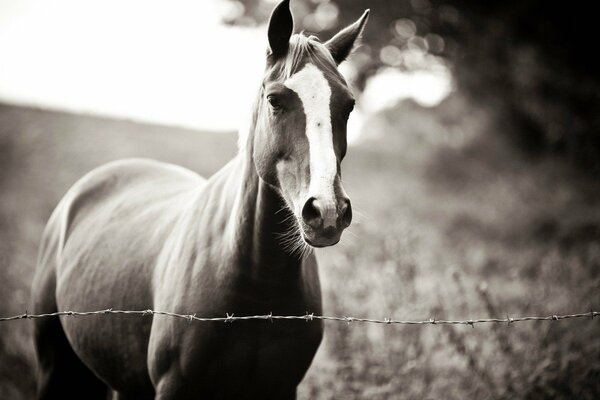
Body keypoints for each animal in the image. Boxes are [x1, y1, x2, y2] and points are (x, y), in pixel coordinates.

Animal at [31, 1, 370, 398]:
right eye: (274, 100)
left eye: (348, 106)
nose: (327, 211)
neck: (256, 287)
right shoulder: (175, 386)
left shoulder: (283, 388)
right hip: (55, 365)